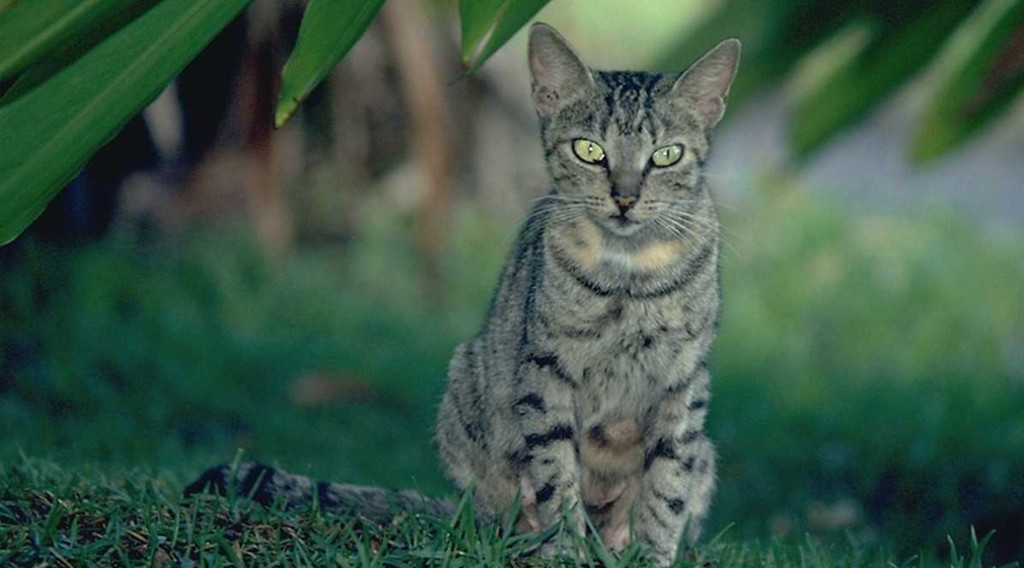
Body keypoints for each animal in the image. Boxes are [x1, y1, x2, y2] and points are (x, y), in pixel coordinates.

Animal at [188, 23, 741, 568]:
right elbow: (556, 471)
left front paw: (653, 552)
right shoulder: (546, 369)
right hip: (465, 385)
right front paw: (565, 547)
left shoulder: (685, 383)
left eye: (666, 155)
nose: (625, 197)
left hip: (706, 452)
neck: (629, 274)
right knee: (504, 508)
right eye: (589, 150)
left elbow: (666, 485)